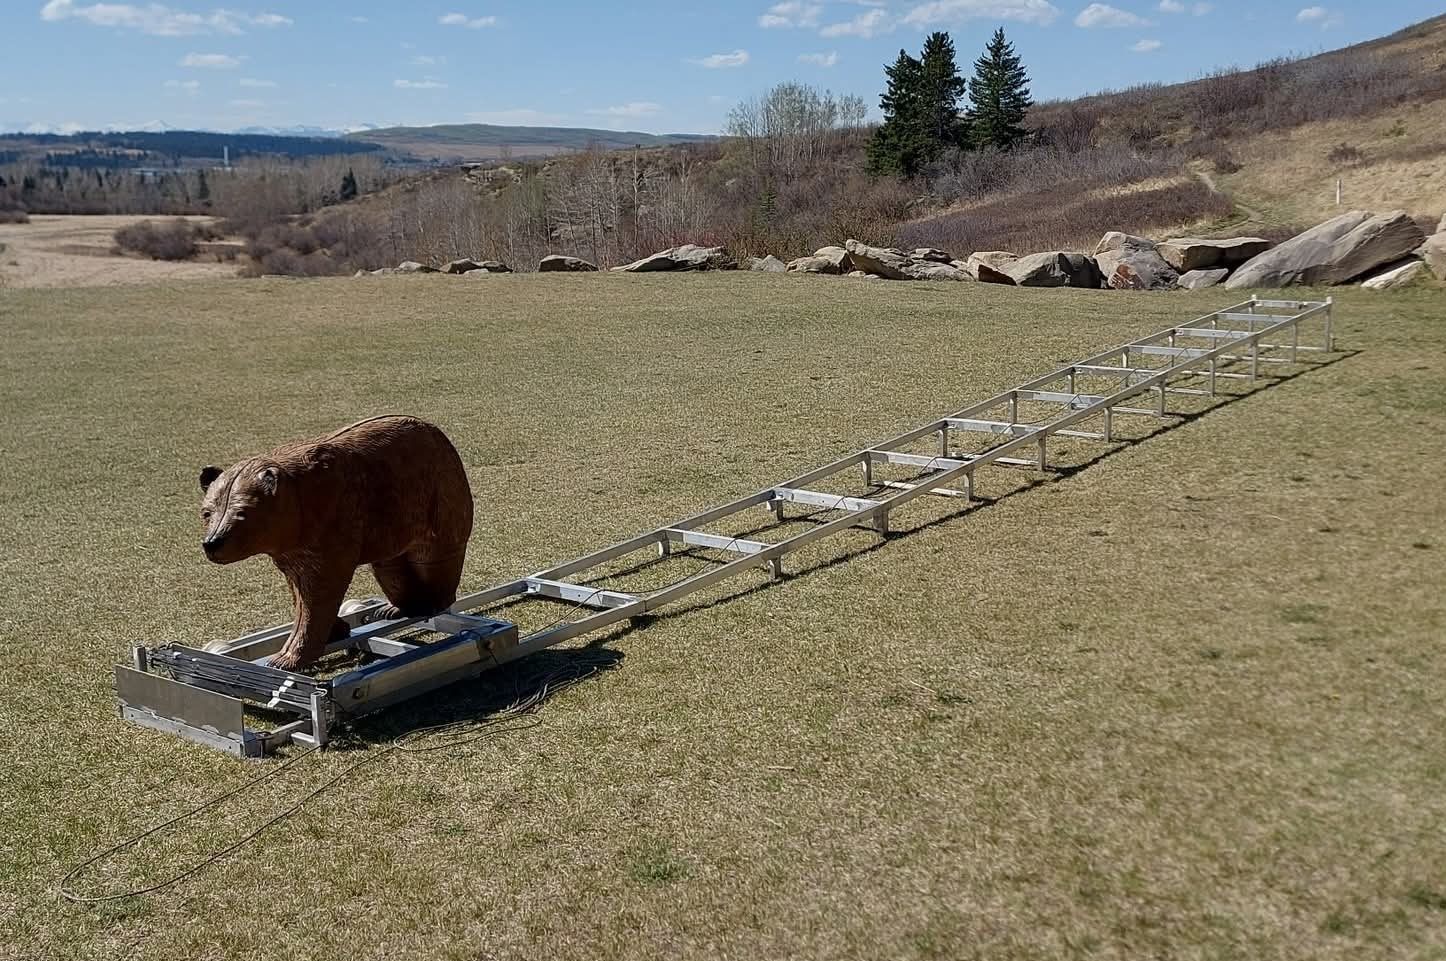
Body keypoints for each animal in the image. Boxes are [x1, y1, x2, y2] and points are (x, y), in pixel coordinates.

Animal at [198, 415, 474, 671]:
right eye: (207, 513)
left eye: (242, 513)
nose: (212, 543)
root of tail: (436, 430)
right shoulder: (292, 547)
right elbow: (298, 589)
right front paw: (335, 630)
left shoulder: (333, 520)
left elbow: (320, 589)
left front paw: (285, 658)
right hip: (392, 517)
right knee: (390, 566)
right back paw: (393, 609)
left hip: (437, 493)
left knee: (433, 558)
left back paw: (432, 603)